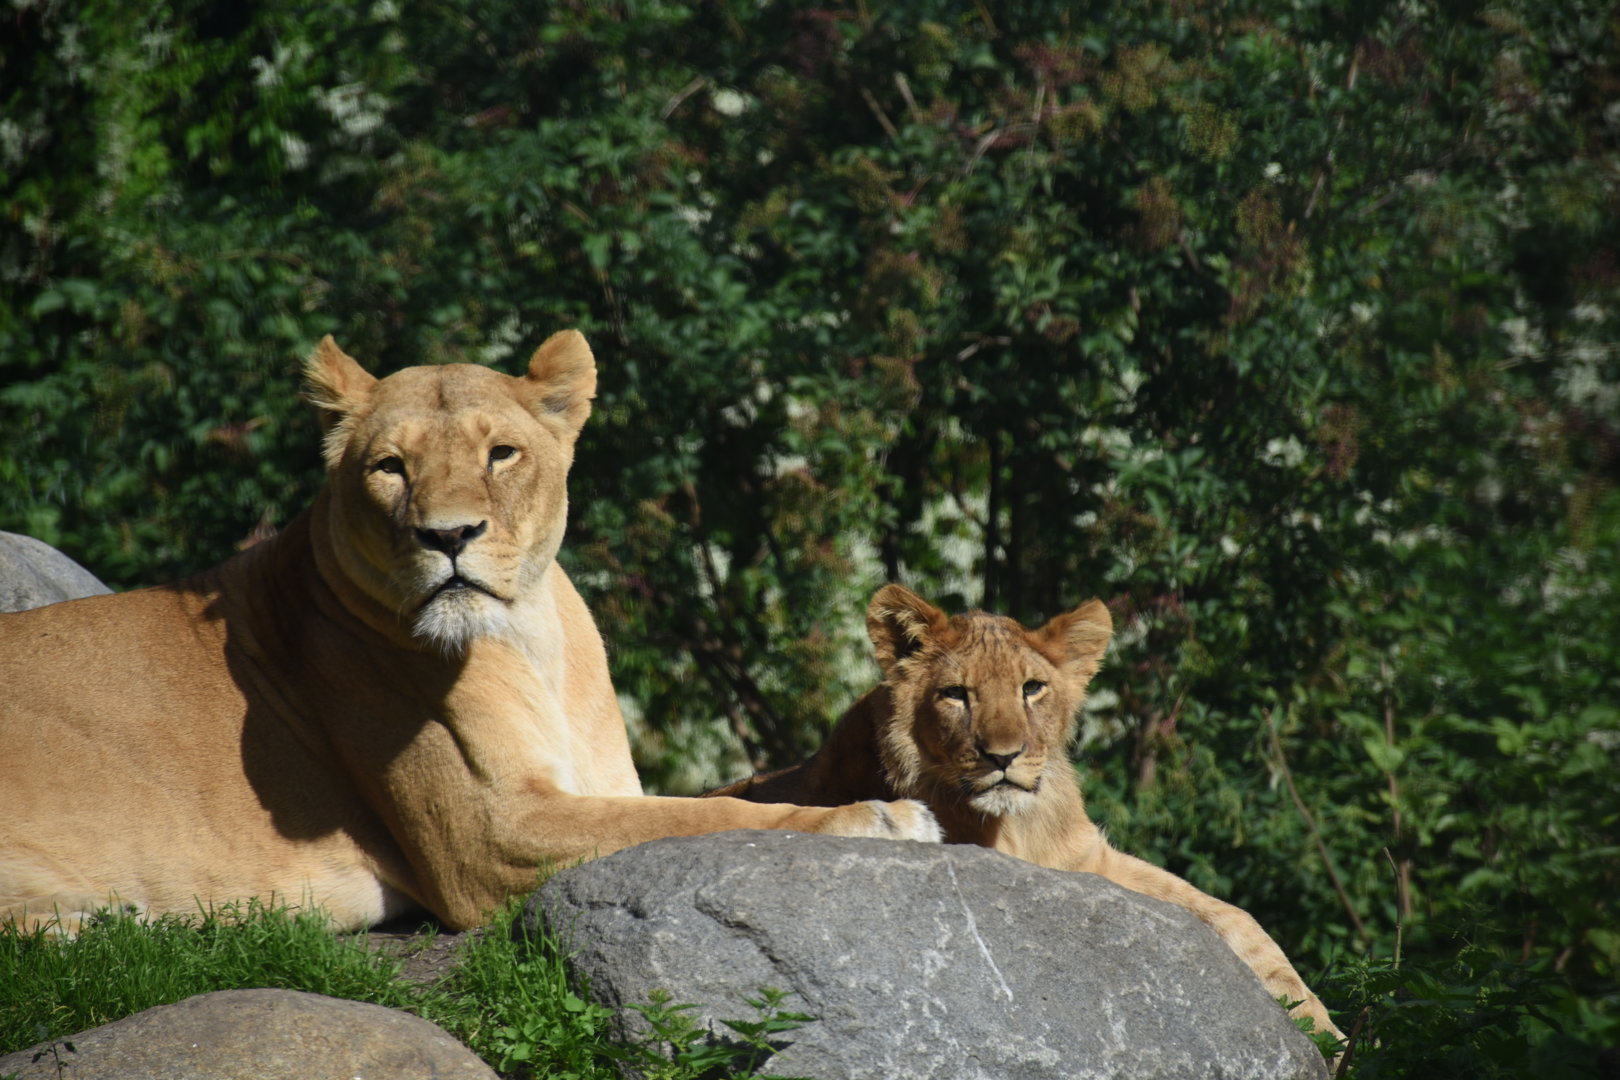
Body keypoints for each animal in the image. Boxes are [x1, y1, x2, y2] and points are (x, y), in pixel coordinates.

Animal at [0, 332, 939, 934]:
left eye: (500, 454)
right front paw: (882, 819)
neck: (531, 638)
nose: (448, 535)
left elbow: (710, 800)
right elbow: (701, 820)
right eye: (390, 467)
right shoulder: (490, 836)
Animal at [708, 584, 1344, 1041]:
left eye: (1032, 688)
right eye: (956, 695)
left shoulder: (1093, 861)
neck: (1018, 825)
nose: (1003, 756)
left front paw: (1323, 1029)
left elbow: (1235, 917)